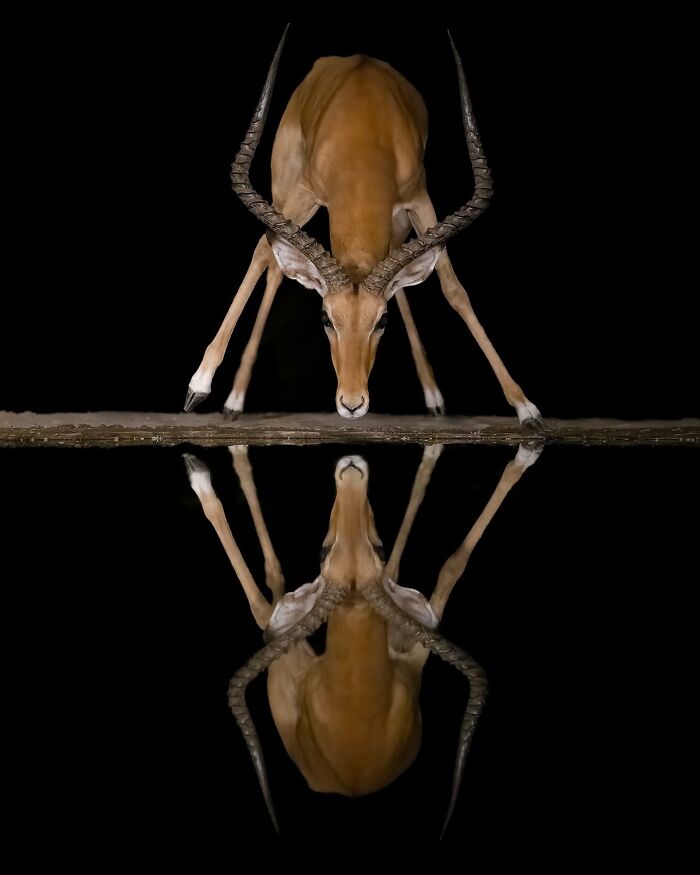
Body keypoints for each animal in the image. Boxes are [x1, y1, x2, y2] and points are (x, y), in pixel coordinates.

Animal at [183, 441, 542, 836]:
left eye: (377, 547)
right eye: (324, 552)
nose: (351, 470)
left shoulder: (416, 644)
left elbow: (451, 565)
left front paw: (524, 452)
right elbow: (452, 565)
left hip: (287, 655)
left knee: (269, 595)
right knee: (269, 595)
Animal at [185, 28, 542, 425]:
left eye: (382, 321)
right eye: (325, 318)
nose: (352, 403)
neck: (364, 133)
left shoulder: (420, 199)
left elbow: (454, 289)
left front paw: (525, 406)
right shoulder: (305, 191)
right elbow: (264, 254)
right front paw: (199, 386)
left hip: (396, 220)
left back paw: (433, 397)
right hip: (284, 188)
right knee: (269, 258)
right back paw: (228, 398)